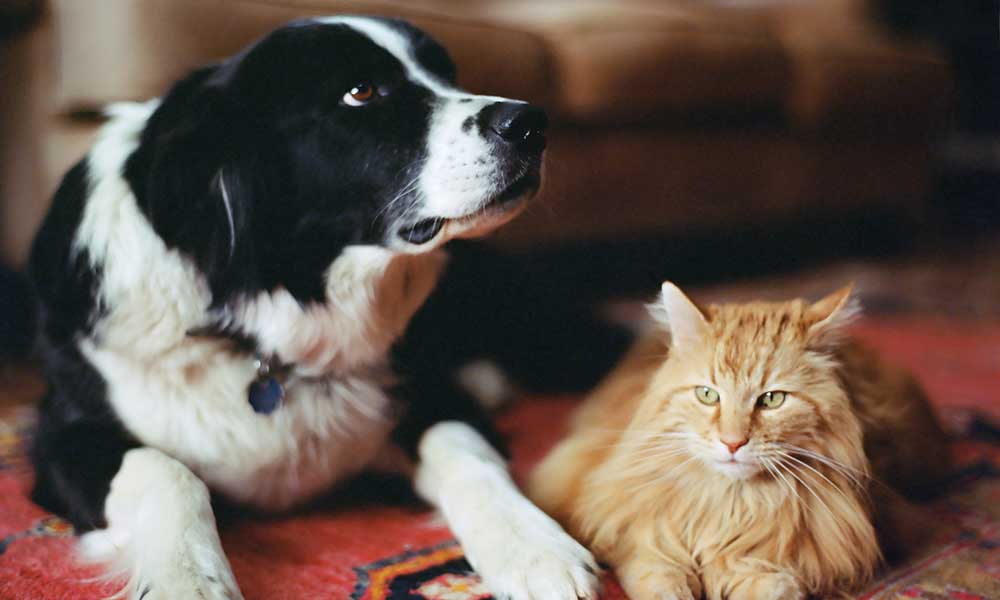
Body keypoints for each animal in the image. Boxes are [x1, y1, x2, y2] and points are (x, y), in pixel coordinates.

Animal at [29, 16, 600, 596]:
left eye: (447, 73)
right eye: (361, 91)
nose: (531, 122)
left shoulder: (431, 395)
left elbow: (465, 452)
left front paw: (534, 547)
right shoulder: (61, 437)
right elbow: (165, 472)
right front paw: (186, 579)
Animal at [528, 282, 948, 600]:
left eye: (772, 399)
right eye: (707, 395)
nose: (732, 443)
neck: (729, 503)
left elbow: (770, 582)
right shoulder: (622, 518)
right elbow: (653, 569)